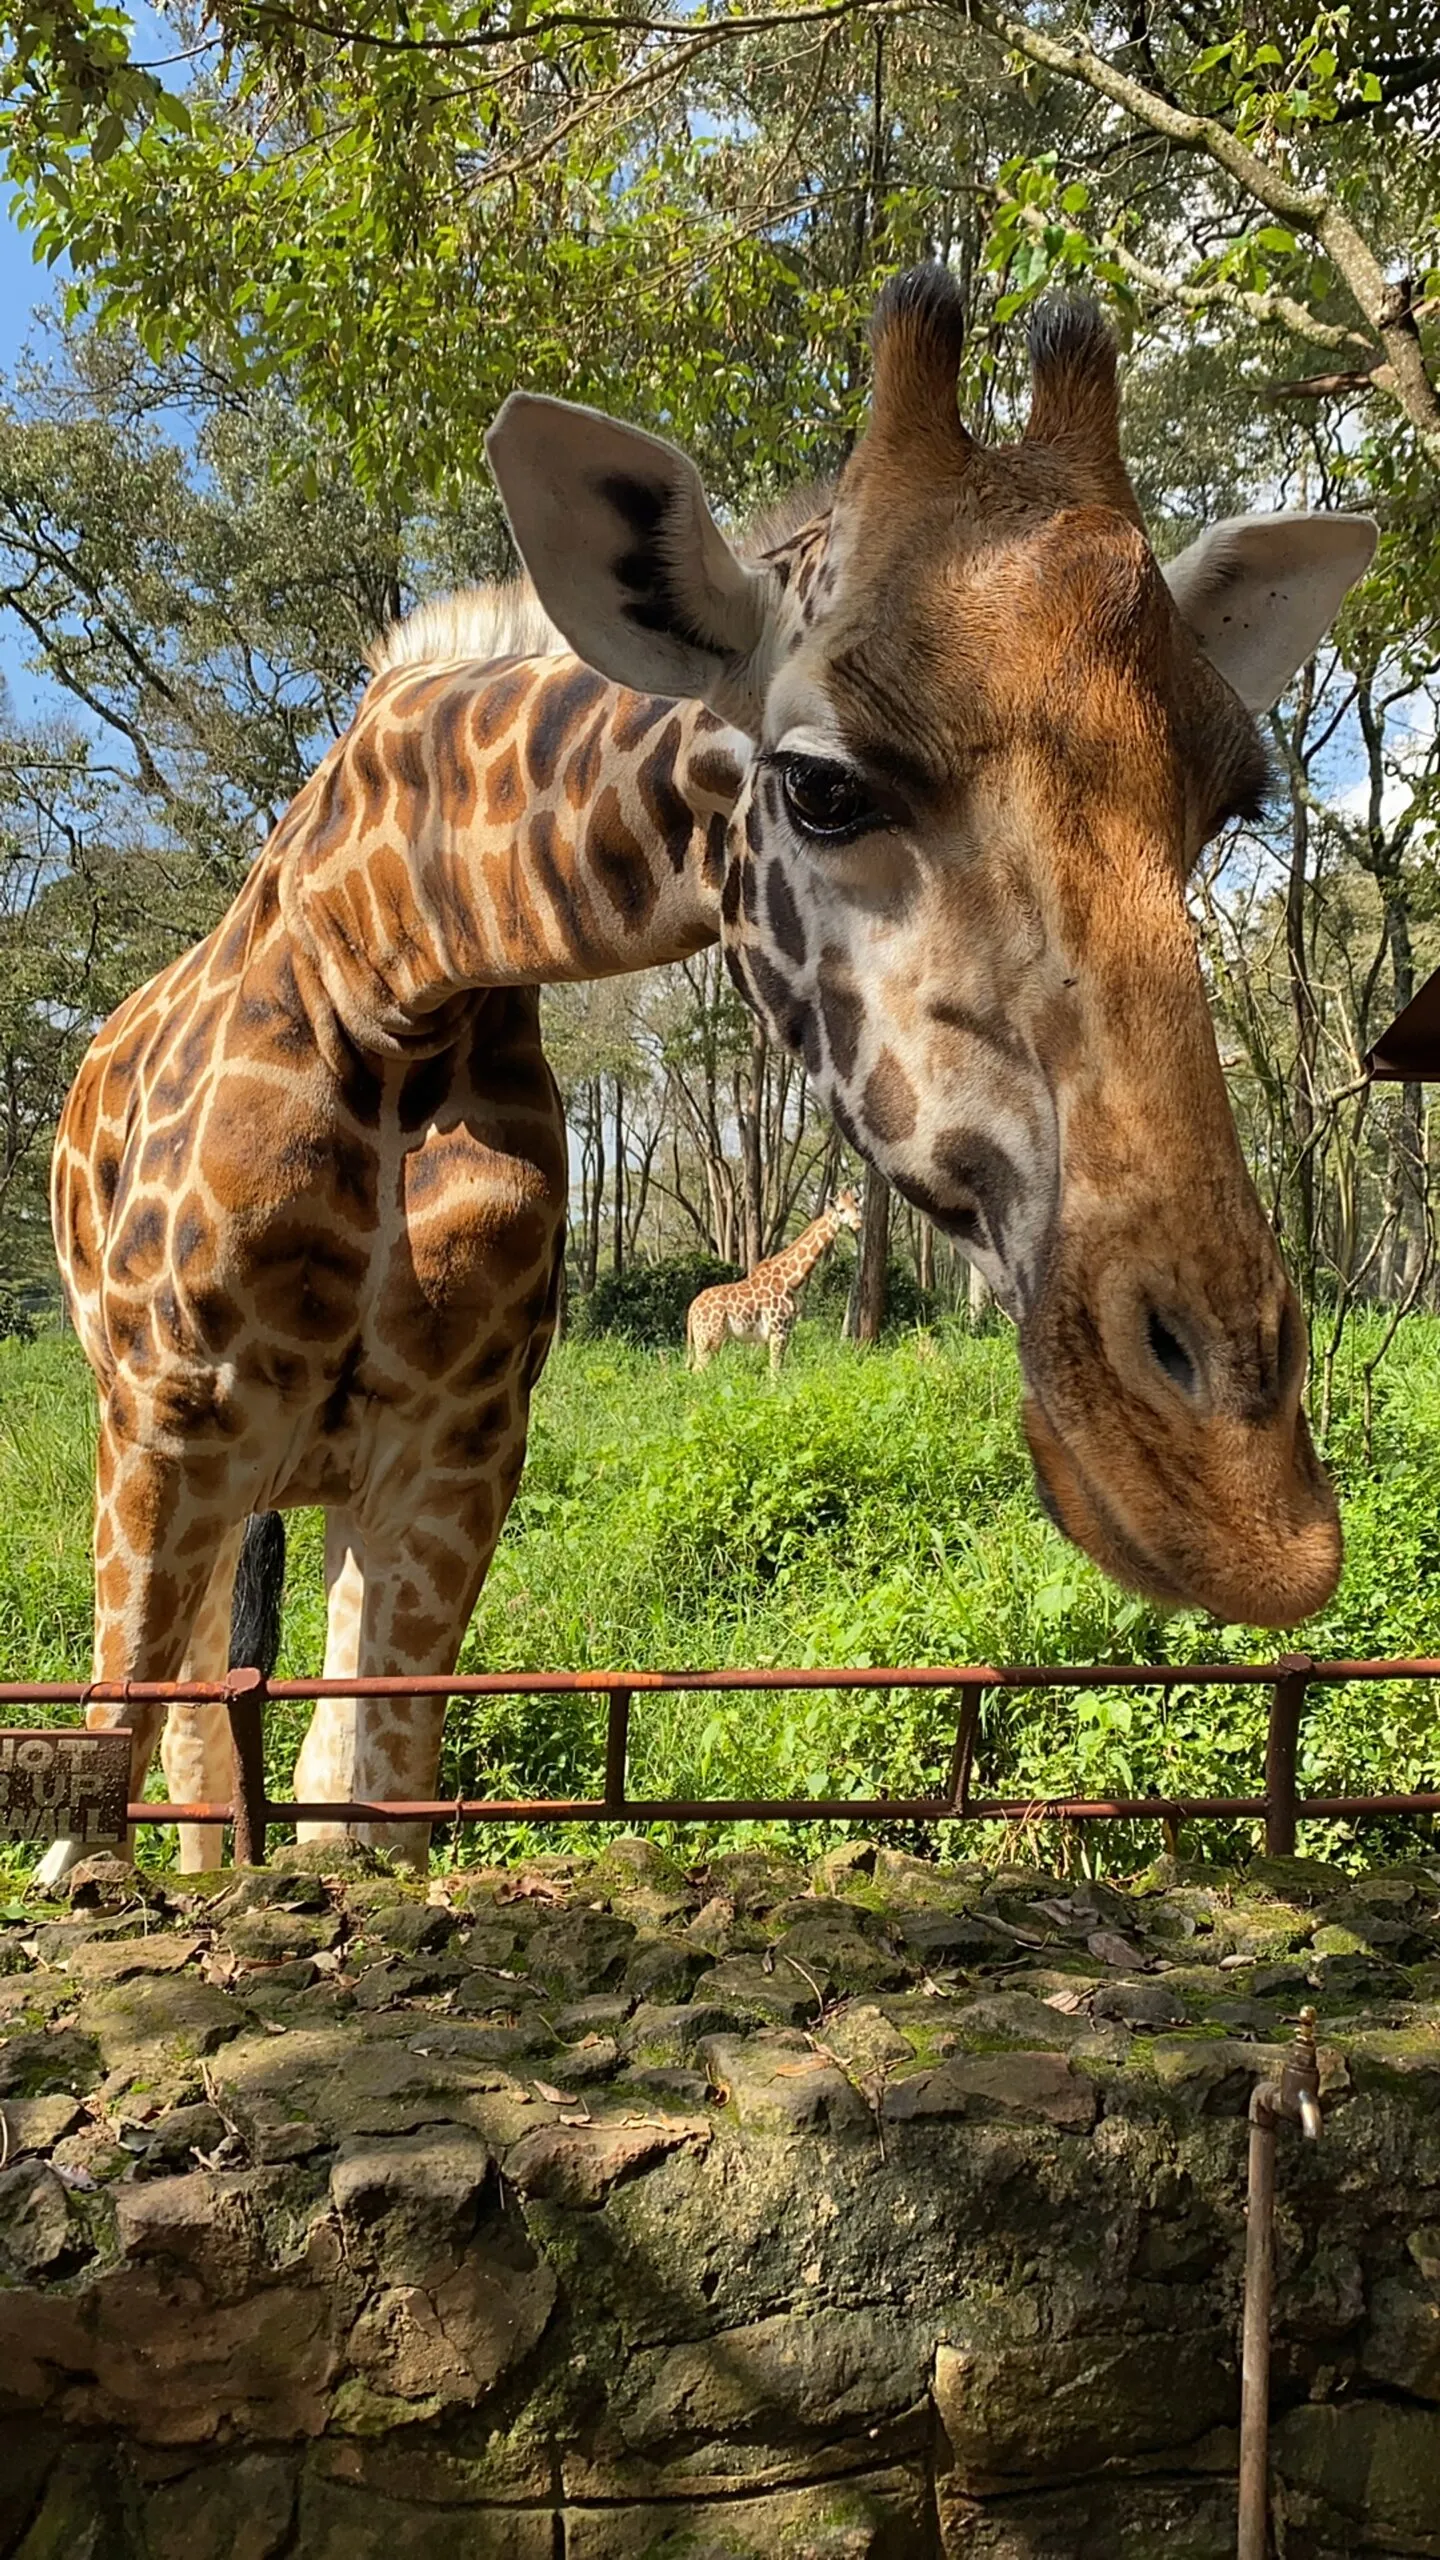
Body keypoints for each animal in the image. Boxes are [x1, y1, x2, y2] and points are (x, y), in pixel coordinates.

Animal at [686, 1189, 863, 1374]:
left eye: (857, 1207)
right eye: (841, 1210)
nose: (858, 1224)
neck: (789, 1280)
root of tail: (692, 1309)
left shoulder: (785, 1331)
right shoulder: (778, 1331)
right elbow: (775, 1372)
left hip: (707, 1340)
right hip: (709, 1338)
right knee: (698, 1370)